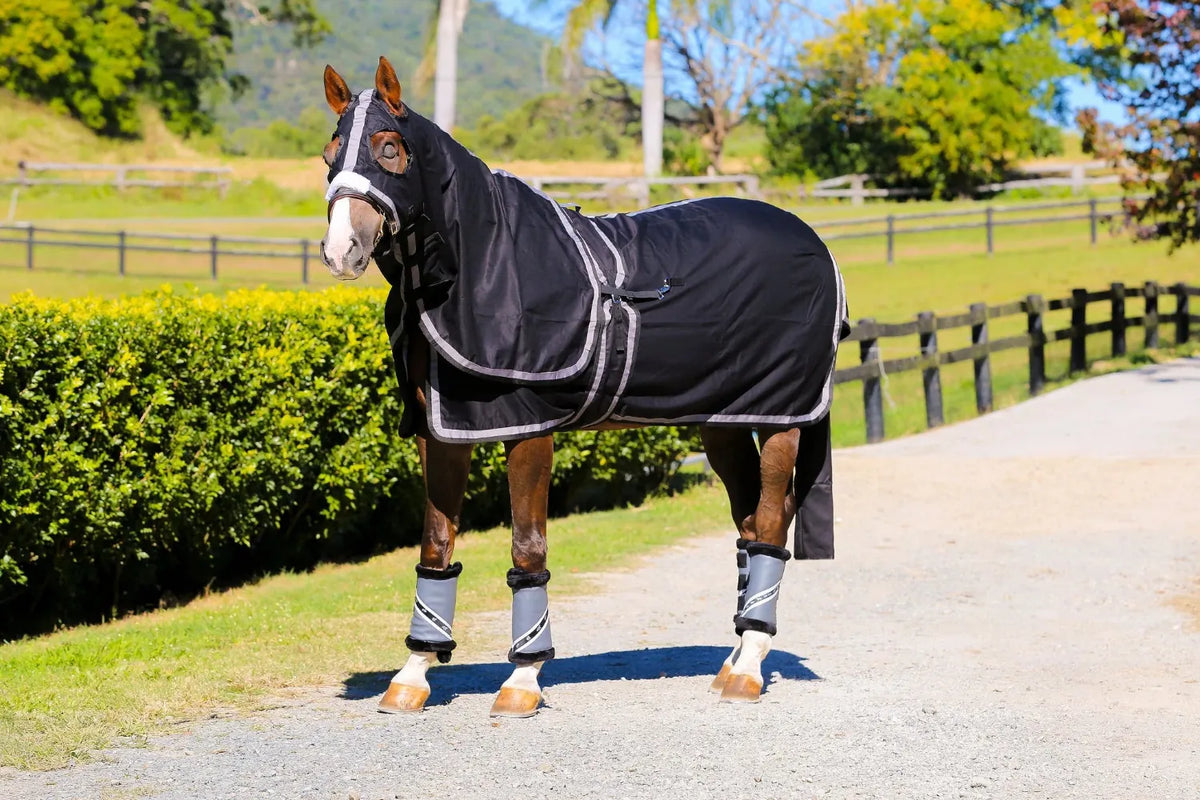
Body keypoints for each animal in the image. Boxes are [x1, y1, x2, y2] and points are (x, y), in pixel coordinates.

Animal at [318, 57, 849, 718]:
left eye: (389, 148)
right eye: (329, 154)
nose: (342, 250)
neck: (483, 263)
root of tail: (815, 243)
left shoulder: (529, 432)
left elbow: (527, 548)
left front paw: (522, 679)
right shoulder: (442, 433)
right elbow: (435, 547)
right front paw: (412, 675)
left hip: (780, 418)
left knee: (772, 526)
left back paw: (748, 667)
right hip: (722, 423)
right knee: (750, 527)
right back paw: (732, 660)